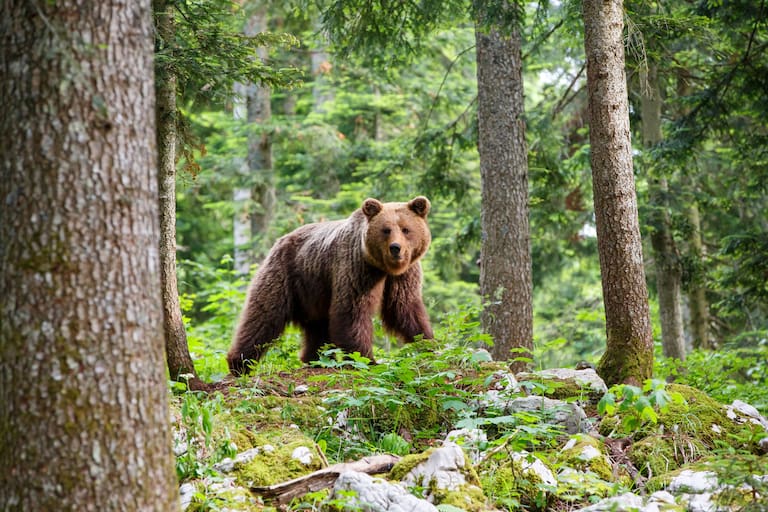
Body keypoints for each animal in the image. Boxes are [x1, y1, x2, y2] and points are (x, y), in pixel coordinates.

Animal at [225, 194, 436, 374]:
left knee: (318, 328)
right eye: (386, 230)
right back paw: (240, 363)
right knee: (264, 315)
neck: (383, 268)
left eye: (406, 229)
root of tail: (280, 240)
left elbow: (404, 308)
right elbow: (352, 310)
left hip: (313, 291)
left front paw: (429, 344)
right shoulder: (356, 268)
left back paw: (315, 359)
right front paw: (368, 360)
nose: (395, 248)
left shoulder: (404, 275)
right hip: (285, 274)